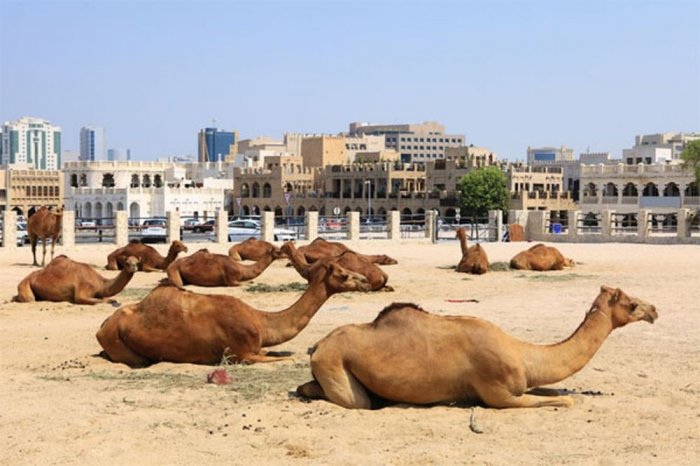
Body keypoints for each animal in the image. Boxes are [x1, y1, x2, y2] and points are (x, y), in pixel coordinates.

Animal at [97, 255, 378, 368]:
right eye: (343, 274)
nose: (364, 280)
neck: (260, 321)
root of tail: (102, 327)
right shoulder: (241, 354)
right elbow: (281, 359)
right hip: (123, 347)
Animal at [298, 286, 660, 410]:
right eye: (631, 304)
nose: (654, 310)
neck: (523, 355)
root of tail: (317, 345)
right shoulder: (497, 393)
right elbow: (564, 400)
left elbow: (554, 394)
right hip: (335, 363)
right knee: (354, 401)